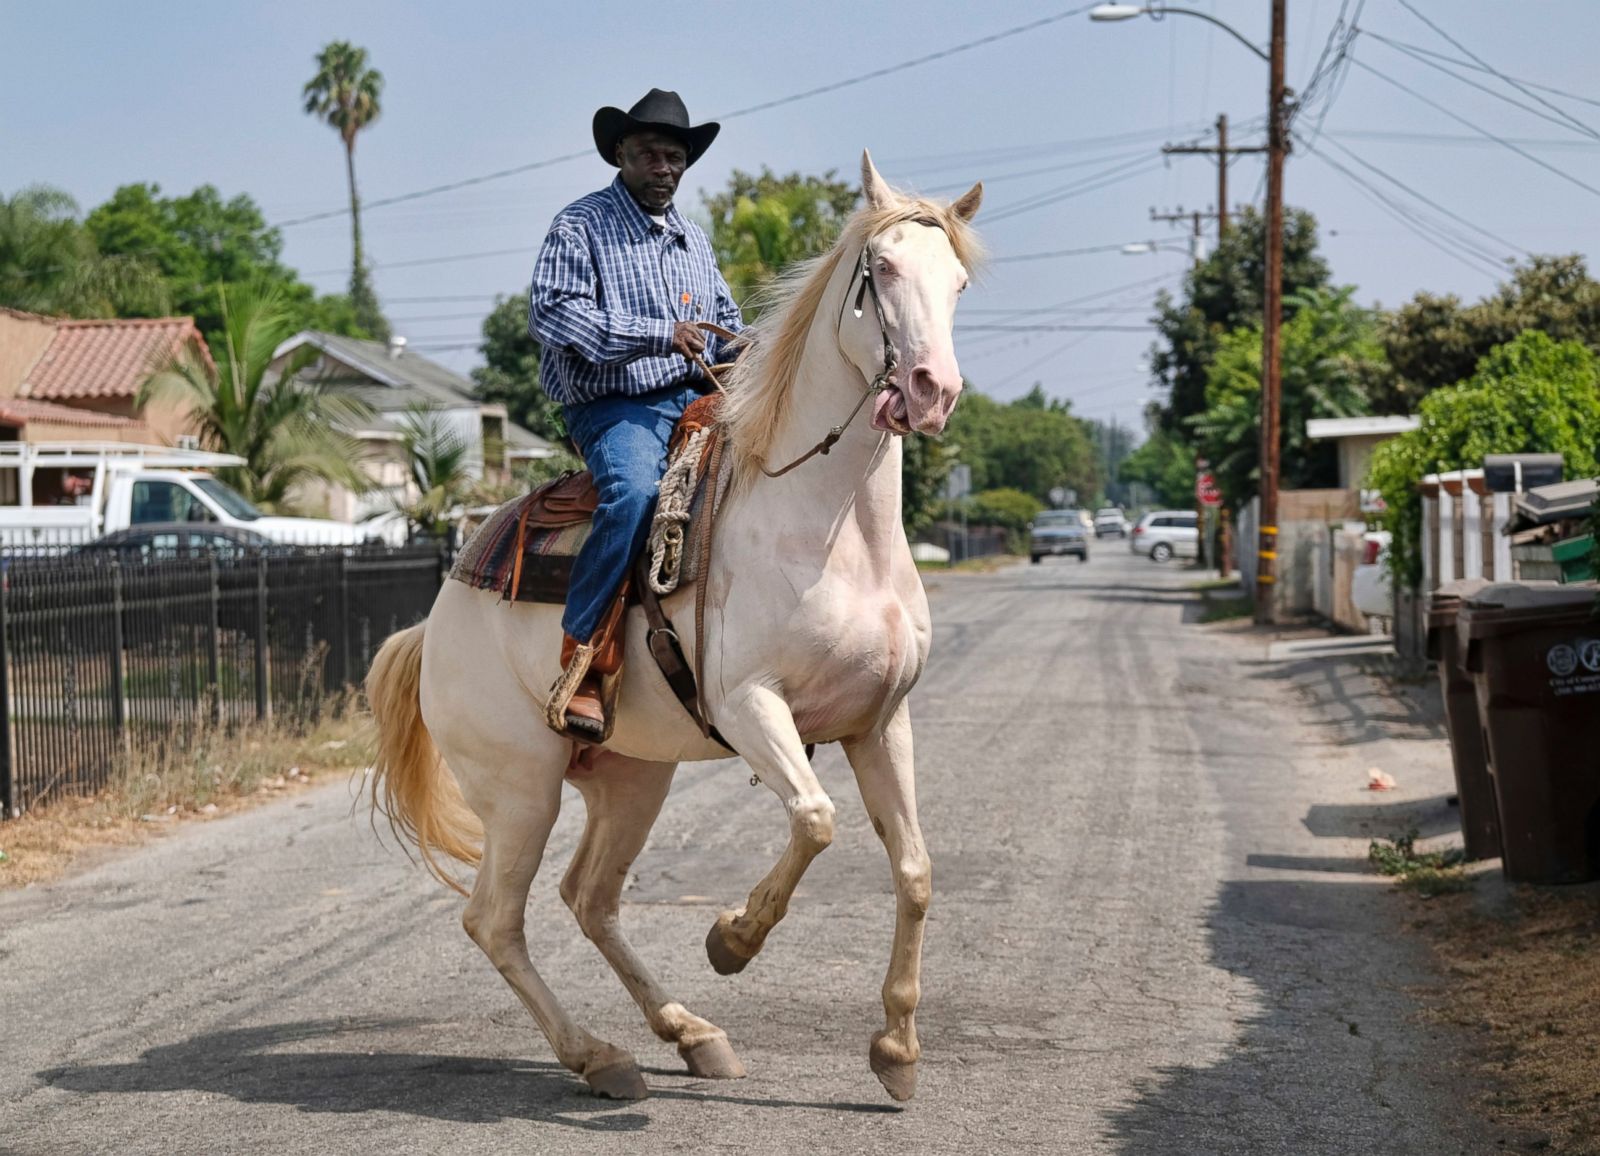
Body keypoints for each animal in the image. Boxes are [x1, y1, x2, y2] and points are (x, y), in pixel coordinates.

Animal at [364, 152, 979, 1101]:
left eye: (957, 282)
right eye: (878, 273)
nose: (931, 391)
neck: (832, 529)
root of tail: (435, 626)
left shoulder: (881, 721)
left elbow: (913, 871)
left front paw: (898, 1050)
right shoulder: (751, 706)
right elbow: (815, 819)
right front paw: (732, 940)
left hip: (629, 779)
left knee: (590, 898)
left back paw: (690, 1033)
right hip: (522, 786)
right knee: (495, 920)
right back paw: (600, 1056)